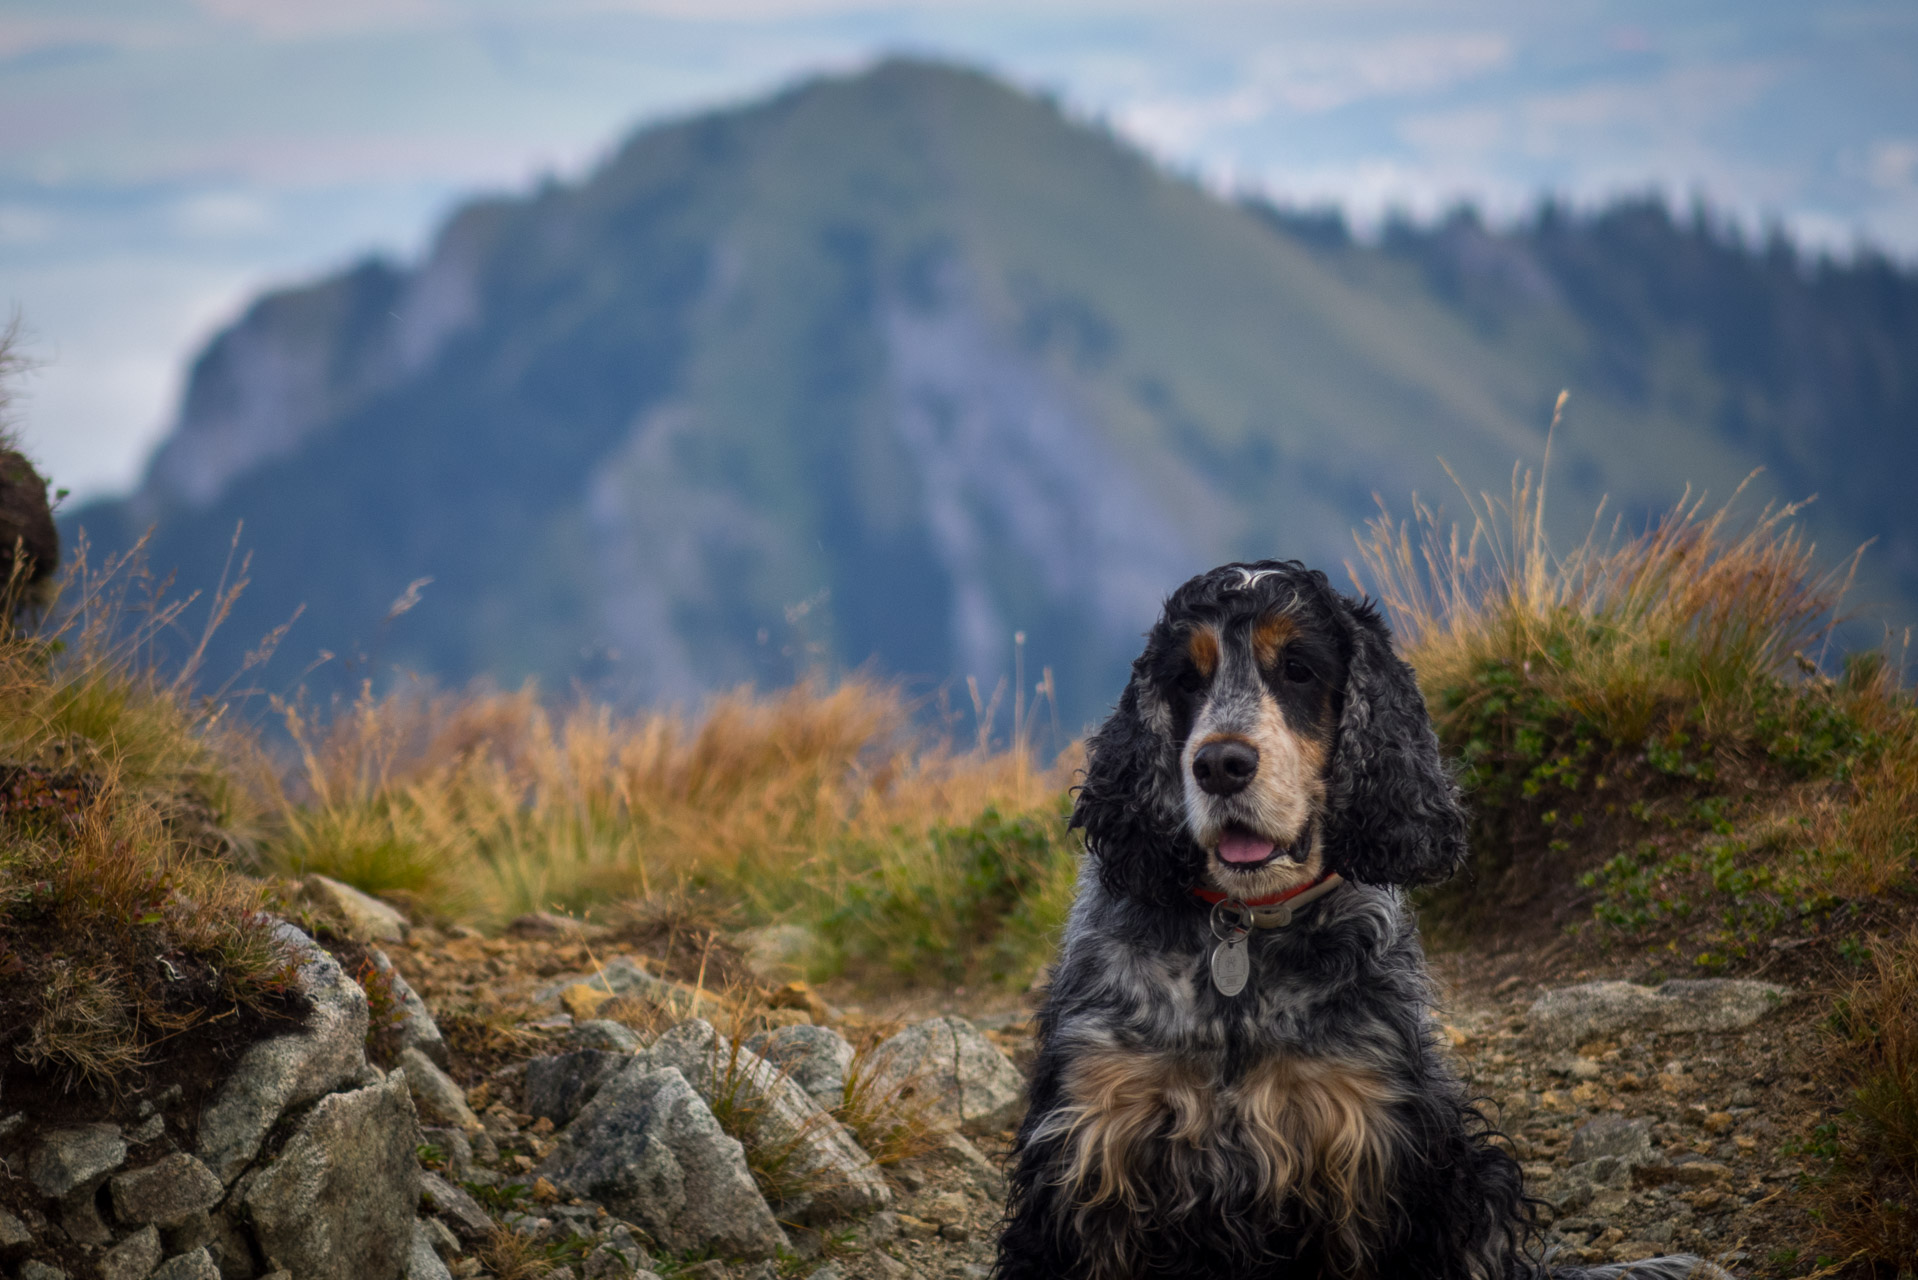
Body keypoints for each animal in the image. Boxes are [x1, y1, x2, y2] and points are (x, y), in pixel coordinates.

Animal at [997, 564, 1733, 1274]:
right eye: (1186, 679)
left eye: (1299, 668)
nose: (1219, 765)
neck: (1246, 935)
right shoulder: (1091, 1146)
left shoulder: (1373, 1147)